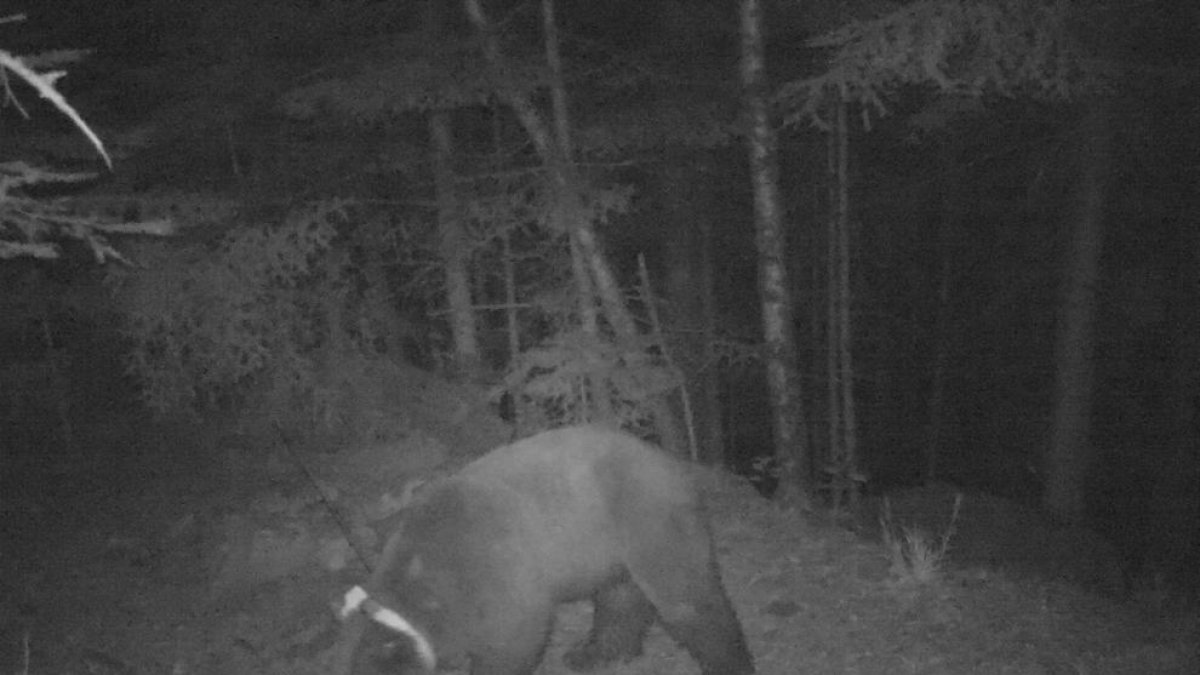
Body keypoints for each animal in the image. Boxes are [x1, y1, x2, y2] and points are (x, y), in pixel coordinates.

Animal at [333, 422, 753, 667]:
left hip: (646, 518)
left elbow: (515, 641)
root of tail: (671, 462)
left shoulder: (496, 574)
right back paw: (595, 653)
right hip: (611, 545)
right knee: (620, 596)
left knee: (687, 598)